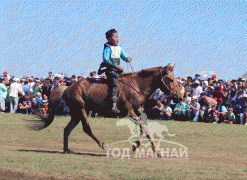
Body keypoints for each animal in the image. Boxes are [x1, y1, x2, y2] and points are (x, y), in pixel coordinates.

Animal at [31, 64, 181, 155]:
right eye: (170, 79)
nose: (180, 95)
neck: (137, 87)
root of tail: (67, 87)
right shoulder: (130, 112)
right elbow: (144, 127)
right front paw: (156, 150)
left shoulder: (137, 113)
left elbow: (143, 127)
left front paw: (136, 145)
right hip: (81, 109)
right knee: (86, 128)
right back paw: (104, 145)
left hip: (76, 113)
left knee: (67, 129)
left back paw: (67, 149)